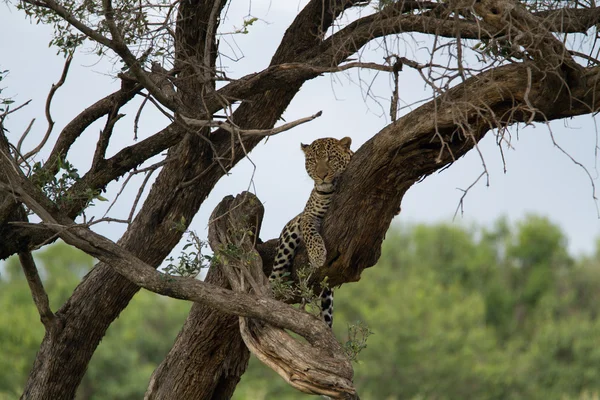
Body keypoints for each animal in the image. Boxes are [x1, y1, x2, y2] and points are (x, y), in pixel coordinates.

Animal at [270, 136, 354, 326]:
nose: (322, 176)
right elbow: (310, 232)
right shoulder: (308, 215)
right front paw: (317, 255)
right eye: (313, 160)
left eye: (330, 158)